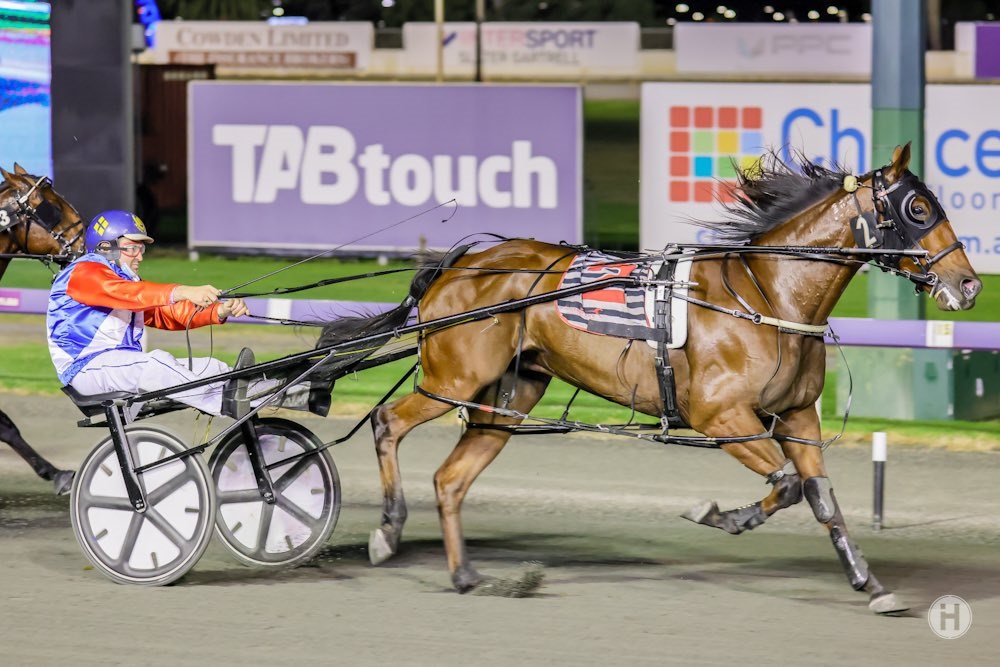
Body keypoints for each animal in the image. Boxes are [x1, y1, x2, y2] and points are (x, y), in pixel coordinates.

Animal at [318, 144, 981, 613]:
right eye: (919, 208)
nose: (970, 285)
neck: (769, 295)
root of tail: (457, 264)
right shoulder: (722, 417)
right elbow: (788, 485)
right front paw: (717, 515)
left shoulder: (796, 417)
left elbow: (821, 496)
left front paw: (871, 584)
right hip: (453, 377)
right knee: (387, 422)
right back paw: (387, 531)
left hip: (510, 395)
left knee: (451, 478)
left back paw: (464, 575)